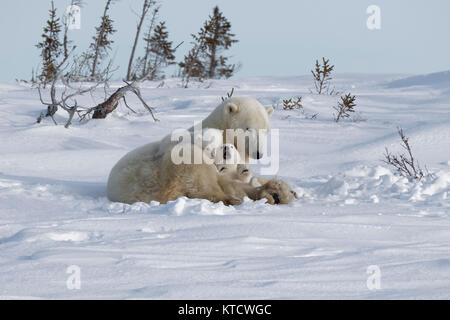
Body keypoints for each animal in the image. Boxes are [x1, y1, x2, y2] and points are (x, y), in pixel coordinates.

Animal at [105, 95, 296, 205]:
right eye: (248, 128)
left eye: (266, 130)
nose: (258, 153)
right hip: (163, 176)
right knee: (206, 184)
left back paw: (277, 191)